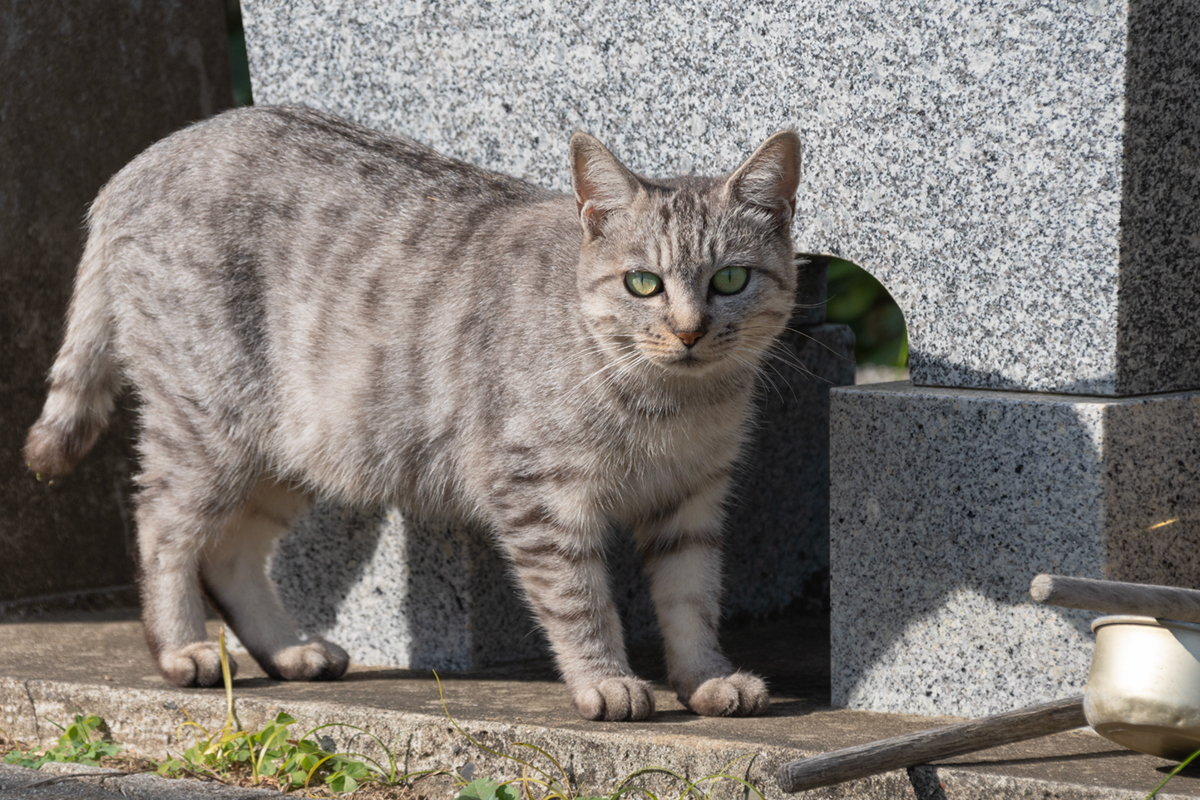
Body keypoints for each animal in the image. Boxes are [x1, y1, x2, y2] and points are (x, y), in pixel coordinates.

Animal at [25, 103, 796, 724]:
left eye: (731, 278)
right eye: (643, 284)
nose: (690, 331)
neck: (672, 406)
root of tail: (141, 161)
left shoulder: (691, 502)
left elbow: (692, 601)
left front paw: (707, 678)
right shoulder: (540, 496)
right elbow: (580, 602)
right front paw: (605, 681)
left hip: (300, 445)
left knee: (230, 553)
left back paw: (291, 650)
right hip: (207, 427)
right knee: (163, 527)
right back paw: (182, 647)